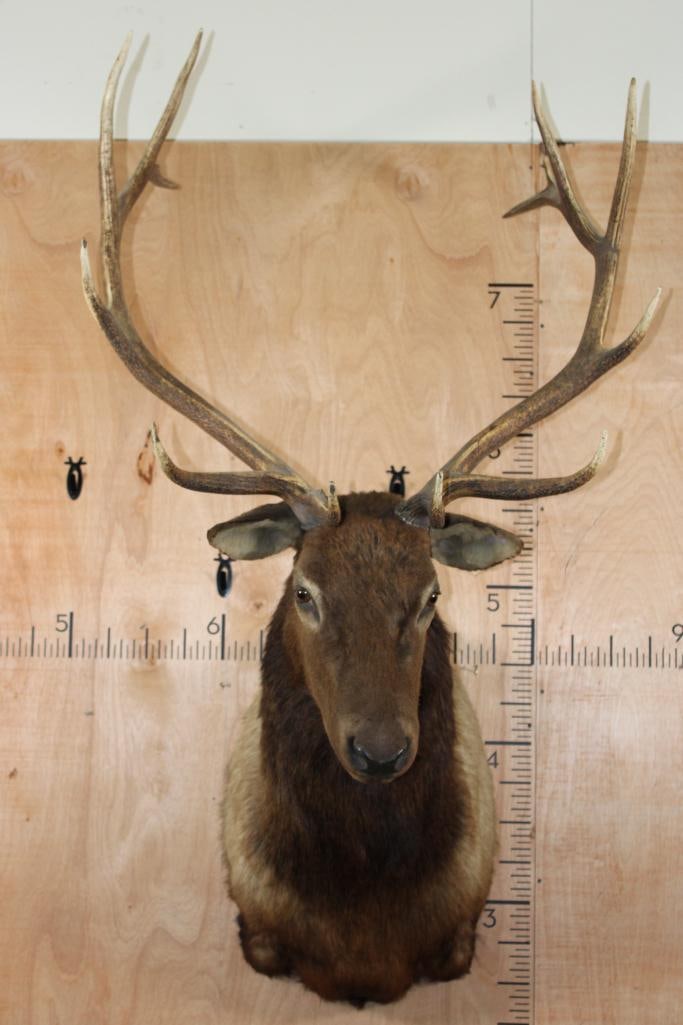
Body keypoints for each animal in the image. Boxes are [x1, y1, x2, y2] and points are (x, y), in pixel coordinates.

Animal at [81, 34, 660, 1007]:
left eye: (430, 597)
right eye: (304, 592)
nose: (383, 748)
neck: (361, 932)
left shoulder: (458, 935)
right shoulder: (257, 929)